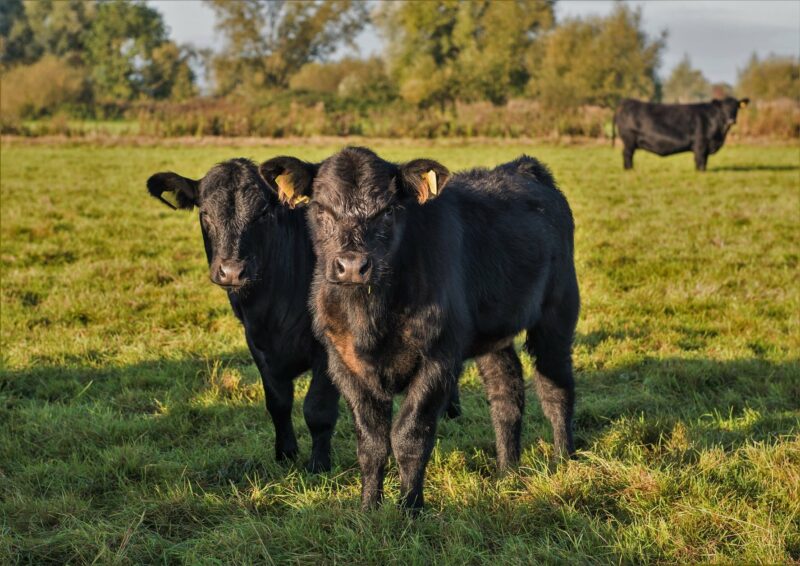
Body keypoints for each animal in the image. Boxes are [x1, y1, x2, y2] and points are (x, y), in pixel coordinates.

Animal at [260, 149, 580, 512]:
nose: (352, 266)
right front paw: (368, 508)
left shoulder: (438, 360)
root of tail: (523, 166)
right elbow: (371, 443)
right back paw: (507, 471)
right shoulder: (343, 364)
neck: (370, 319)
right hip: (493, 335)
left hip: (558, 311)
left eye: (388, 210)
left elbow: (410, 437)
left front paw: (409, 508)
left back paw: (563, 458)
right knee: (506, 394)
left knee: (556, 387)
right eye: (321, 209)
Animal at [612, 97, 752, 171]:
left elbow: (704, 160)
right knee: (627, 154)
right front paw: (700, 172)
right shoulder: (700, 143)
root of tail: (626, 101)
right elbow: (700, 159)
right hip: (629, 140)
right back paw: (629, 169)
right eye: (723, 109)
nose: (731, 120)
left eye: (736, 107)